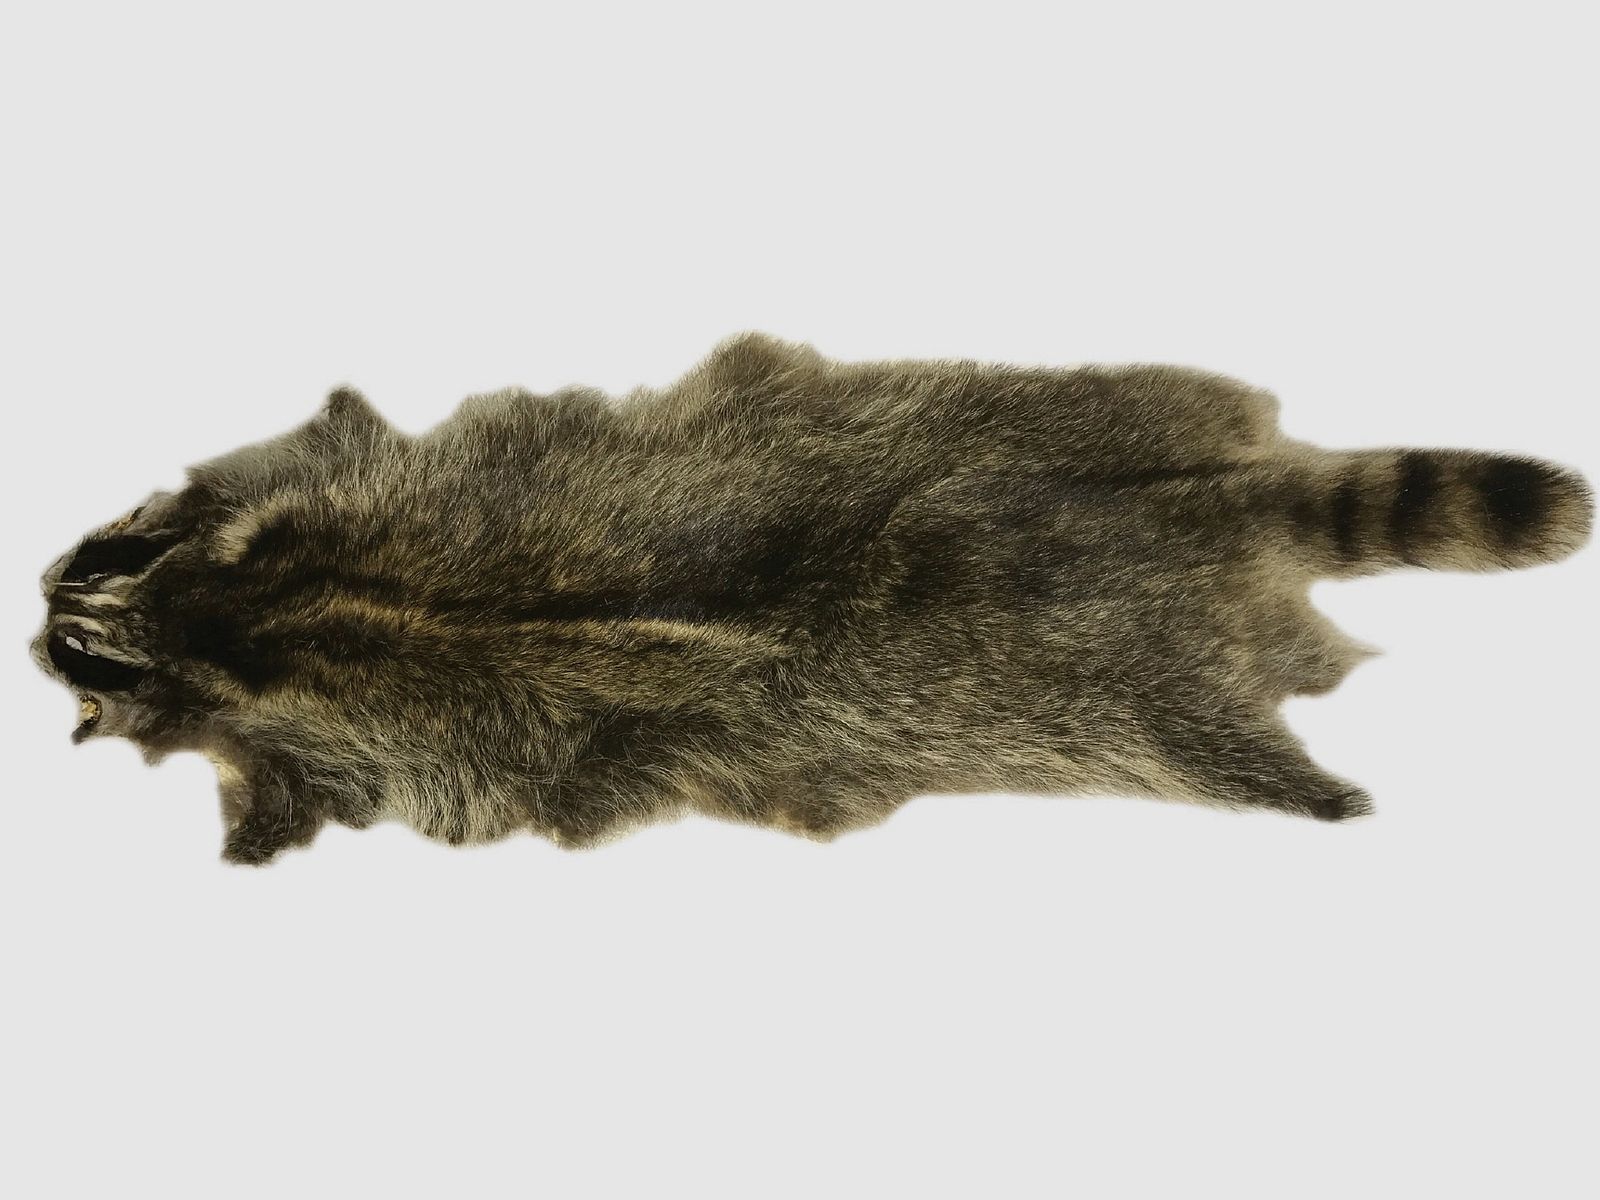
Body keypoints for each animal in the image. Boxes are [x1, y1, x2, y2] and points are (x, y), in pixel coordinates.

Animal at [30, 334, 1593, 864]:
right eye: (102, 543)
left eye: (82, 670)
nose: (38, 602)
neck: (244, 618)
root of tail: (1192, 499)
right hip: (1126, 397)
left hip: (1146, 707)